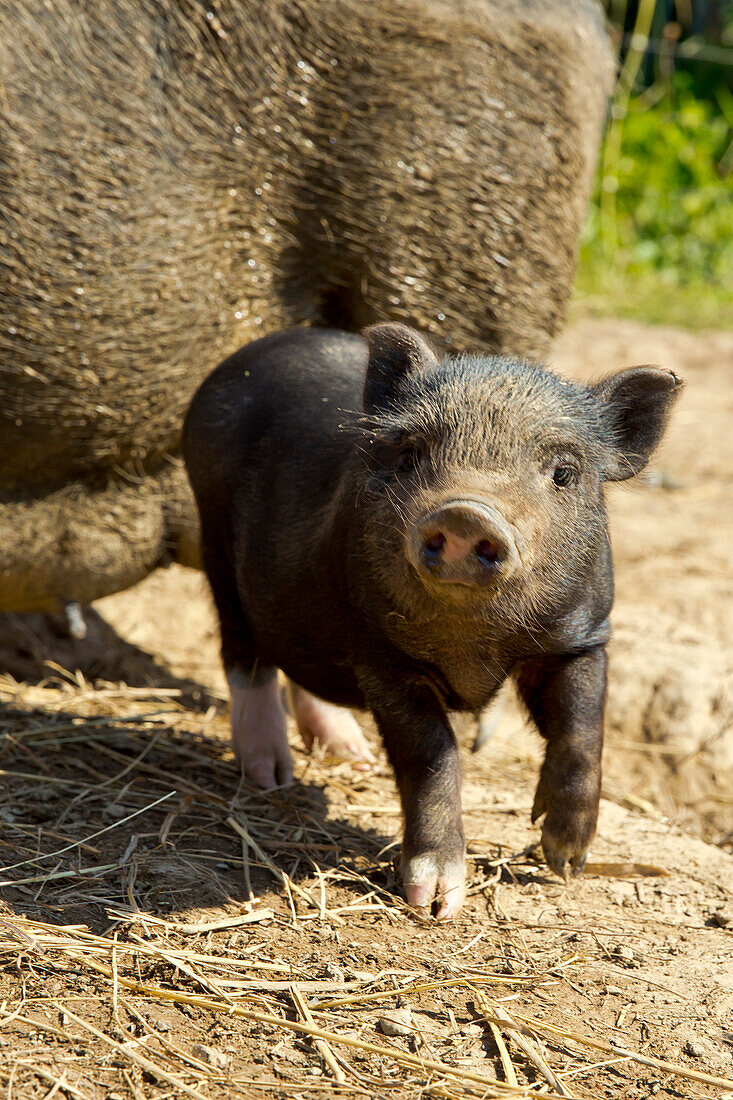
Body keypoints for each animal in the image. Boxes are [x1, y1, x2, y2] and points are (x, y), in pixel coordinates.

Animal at [181, 321, 677, 915]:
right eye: (411, 455)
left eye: (564, 472)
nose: (466, 512)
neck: (473, 645)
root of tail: (255, 352)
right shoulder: (380, 652)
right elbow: (432, 758)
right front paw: (433, 903)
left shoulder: (582, 635)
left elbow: (583, 730)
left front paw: (564, 862)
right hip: (214, 536)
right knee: (244, 653)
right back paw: (271, 776)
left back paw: (353, 756)